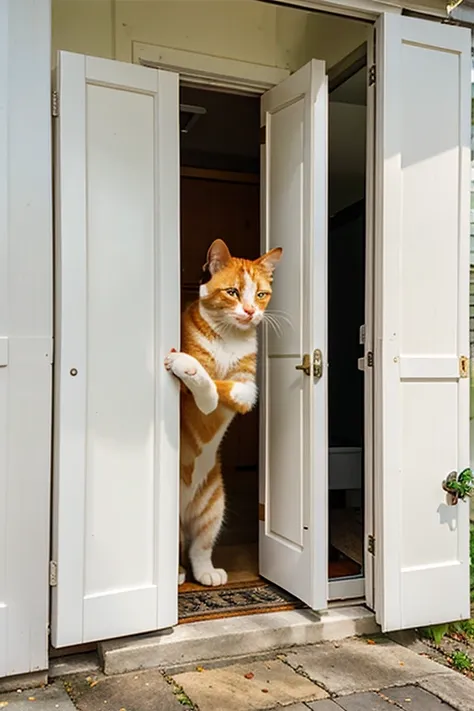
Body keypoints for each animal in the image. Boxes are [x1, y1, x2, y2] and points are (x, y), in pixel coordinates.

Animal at [164, 242, 282, 588]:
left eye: (261, 294)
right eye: (232, 292)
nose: (250, 311)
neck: (229, 336)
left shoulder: (247, 388)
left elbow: (225, 389)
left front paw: (195, 374)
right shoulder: (185, 395)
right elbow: (206, 380)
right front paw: (187, 365)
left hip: (214, 505)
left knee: (199, 547)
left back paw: (207, 573)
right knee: (179, 547)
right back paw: (177, 575)